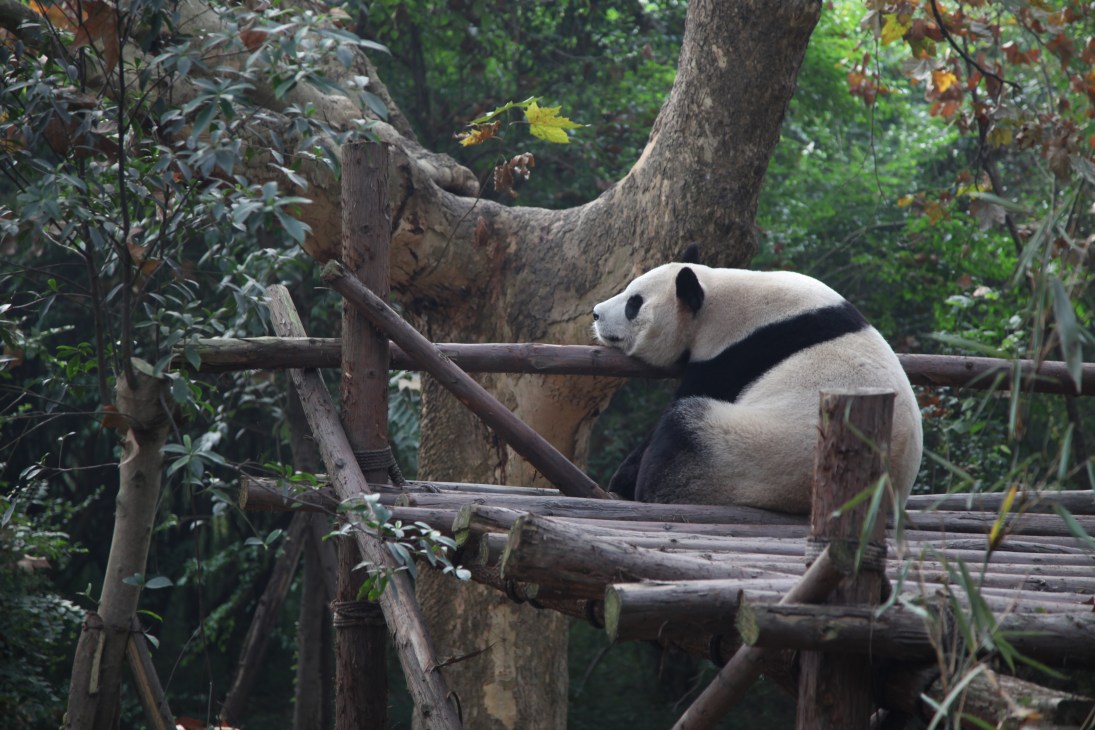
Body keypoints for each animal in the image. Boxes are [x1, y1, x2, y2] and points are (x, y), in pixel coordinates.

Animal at [592, 245, 923, 513]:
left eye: (633, 304)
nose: (595, 313)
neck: (716, 296)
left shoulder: (736, 355)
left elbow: (691, 395)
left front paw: (622, 476)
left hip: (755, 455)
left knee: (684, 428)